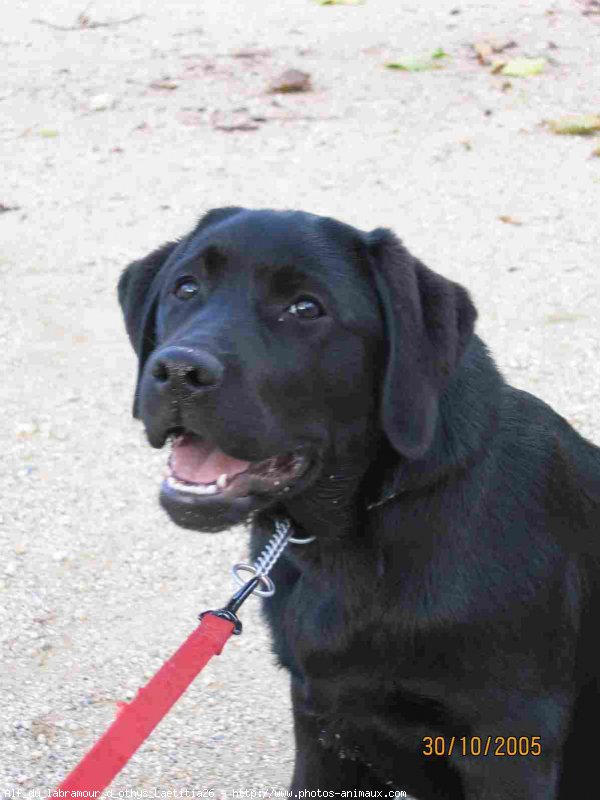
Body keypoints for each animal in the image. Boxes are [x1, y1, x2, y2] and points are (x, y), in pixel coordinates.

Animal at [118, 208, 600, 800]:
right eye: (185, 288)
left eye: (306, 308)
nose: (179, 372)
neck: (355, 537)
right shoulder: (322, 721)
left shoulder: (511, 743)